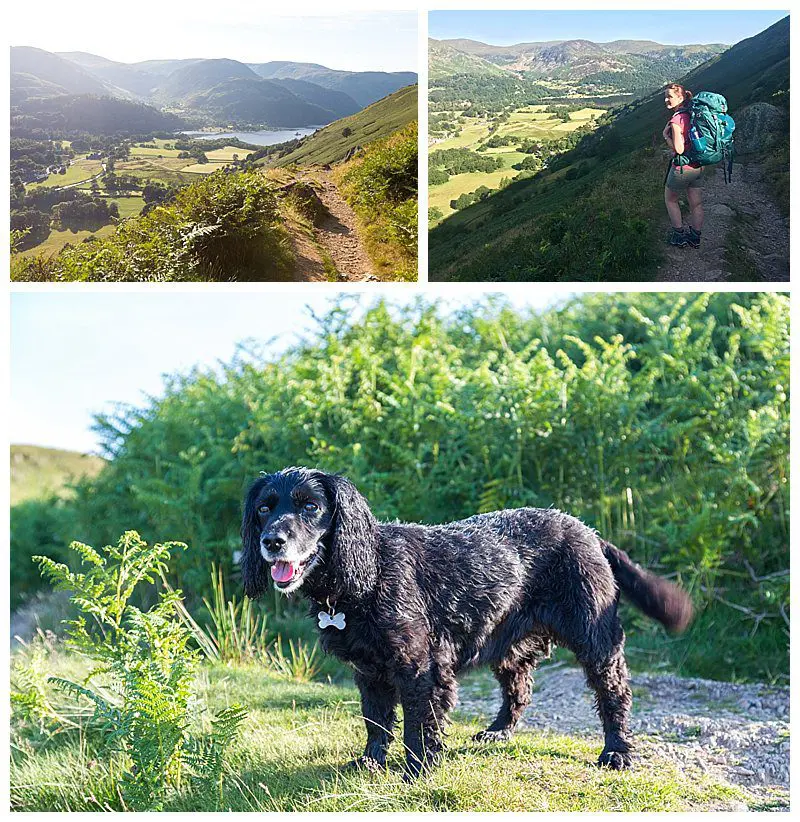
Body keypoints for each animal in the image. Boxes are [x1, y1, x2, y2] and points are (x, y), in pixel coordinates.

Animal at [239, 470, 692, 780]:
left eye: (310, 507)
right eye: (264, 508)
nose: (272, 541)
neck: (366, 573)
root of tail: (588, 531)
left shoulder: (419, 668)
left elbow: (419, 725)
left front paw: (418, 770)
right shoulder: (370, 672)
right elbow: (376, 721)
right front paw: (370, 762)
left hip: (595, 640)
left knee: (614, 696)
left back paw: (616, 752)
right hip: (508, 645)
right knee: (519, 691)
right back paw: (497, 733)